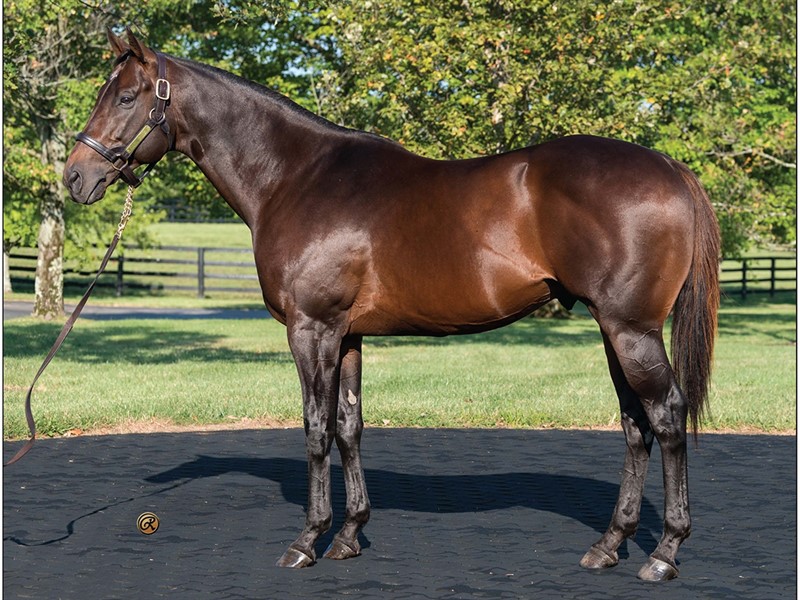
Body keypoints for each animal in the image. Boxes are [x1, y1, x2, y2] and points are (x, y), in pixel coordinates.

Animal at [64, 28, 720, 581]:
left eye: (126, 97)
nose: (74, 177)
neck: (295, 177)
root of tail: (670, 167)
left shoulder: (311, 330)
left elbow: (315, 429)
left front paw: (308, 540)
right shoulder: (347, 334)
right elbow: (350, 426)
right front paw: (350, 535)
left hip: (631, 329)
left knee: (666, 417)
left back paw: (663, 553)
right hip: (615, 331)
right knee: (635, 425)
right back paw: (609, 545)